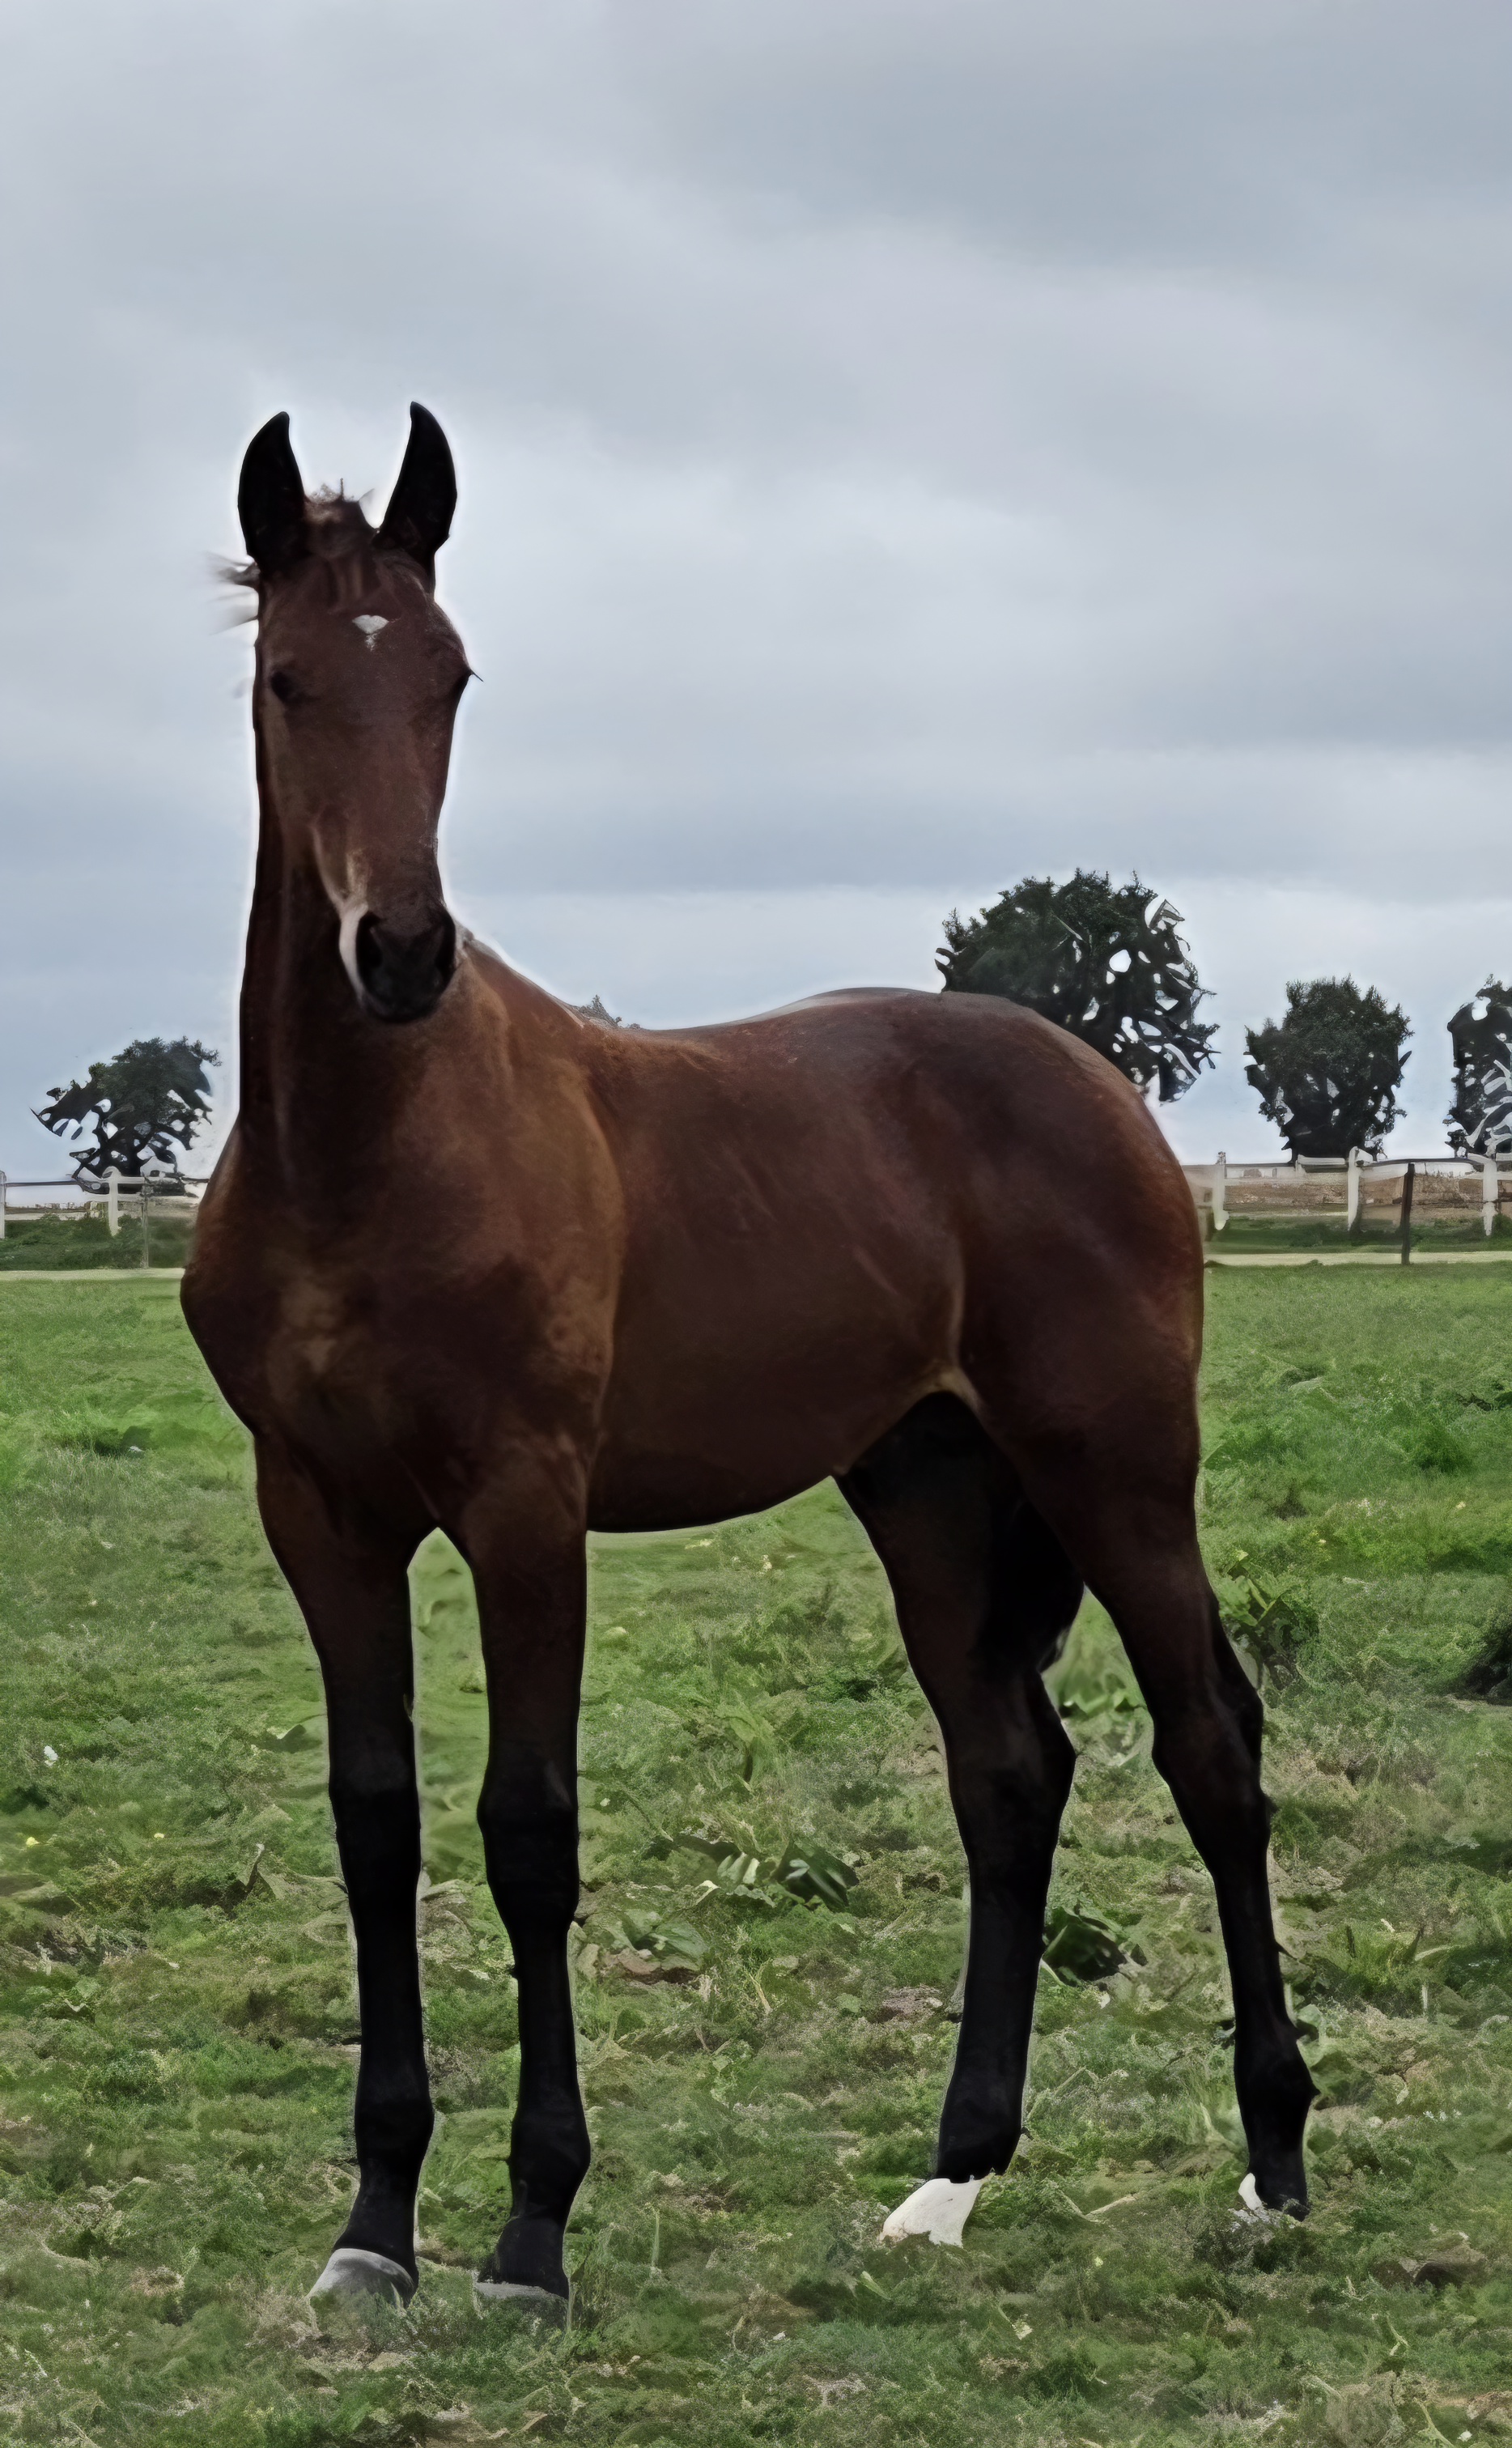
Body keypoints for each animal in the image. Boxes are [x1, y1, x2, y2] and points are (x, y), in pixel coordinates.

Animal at [181, 403, 1314, 2312]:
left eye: (453, 672)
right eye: (285, 679)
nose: (399, 952)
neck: (365, 1158)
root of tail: (1096, 1083)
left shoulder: (524, 1507)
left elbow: (528, 1829)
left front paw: (532, 2229)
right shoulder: (319, 1513)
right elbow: (374, 1823)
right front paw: (376, 2222)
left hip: (1112, 1471)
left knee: (1209, 1750)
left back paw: (1275, 2163)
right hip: (929, 1488)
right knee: (1009, 1777)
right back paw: (951, 2177)